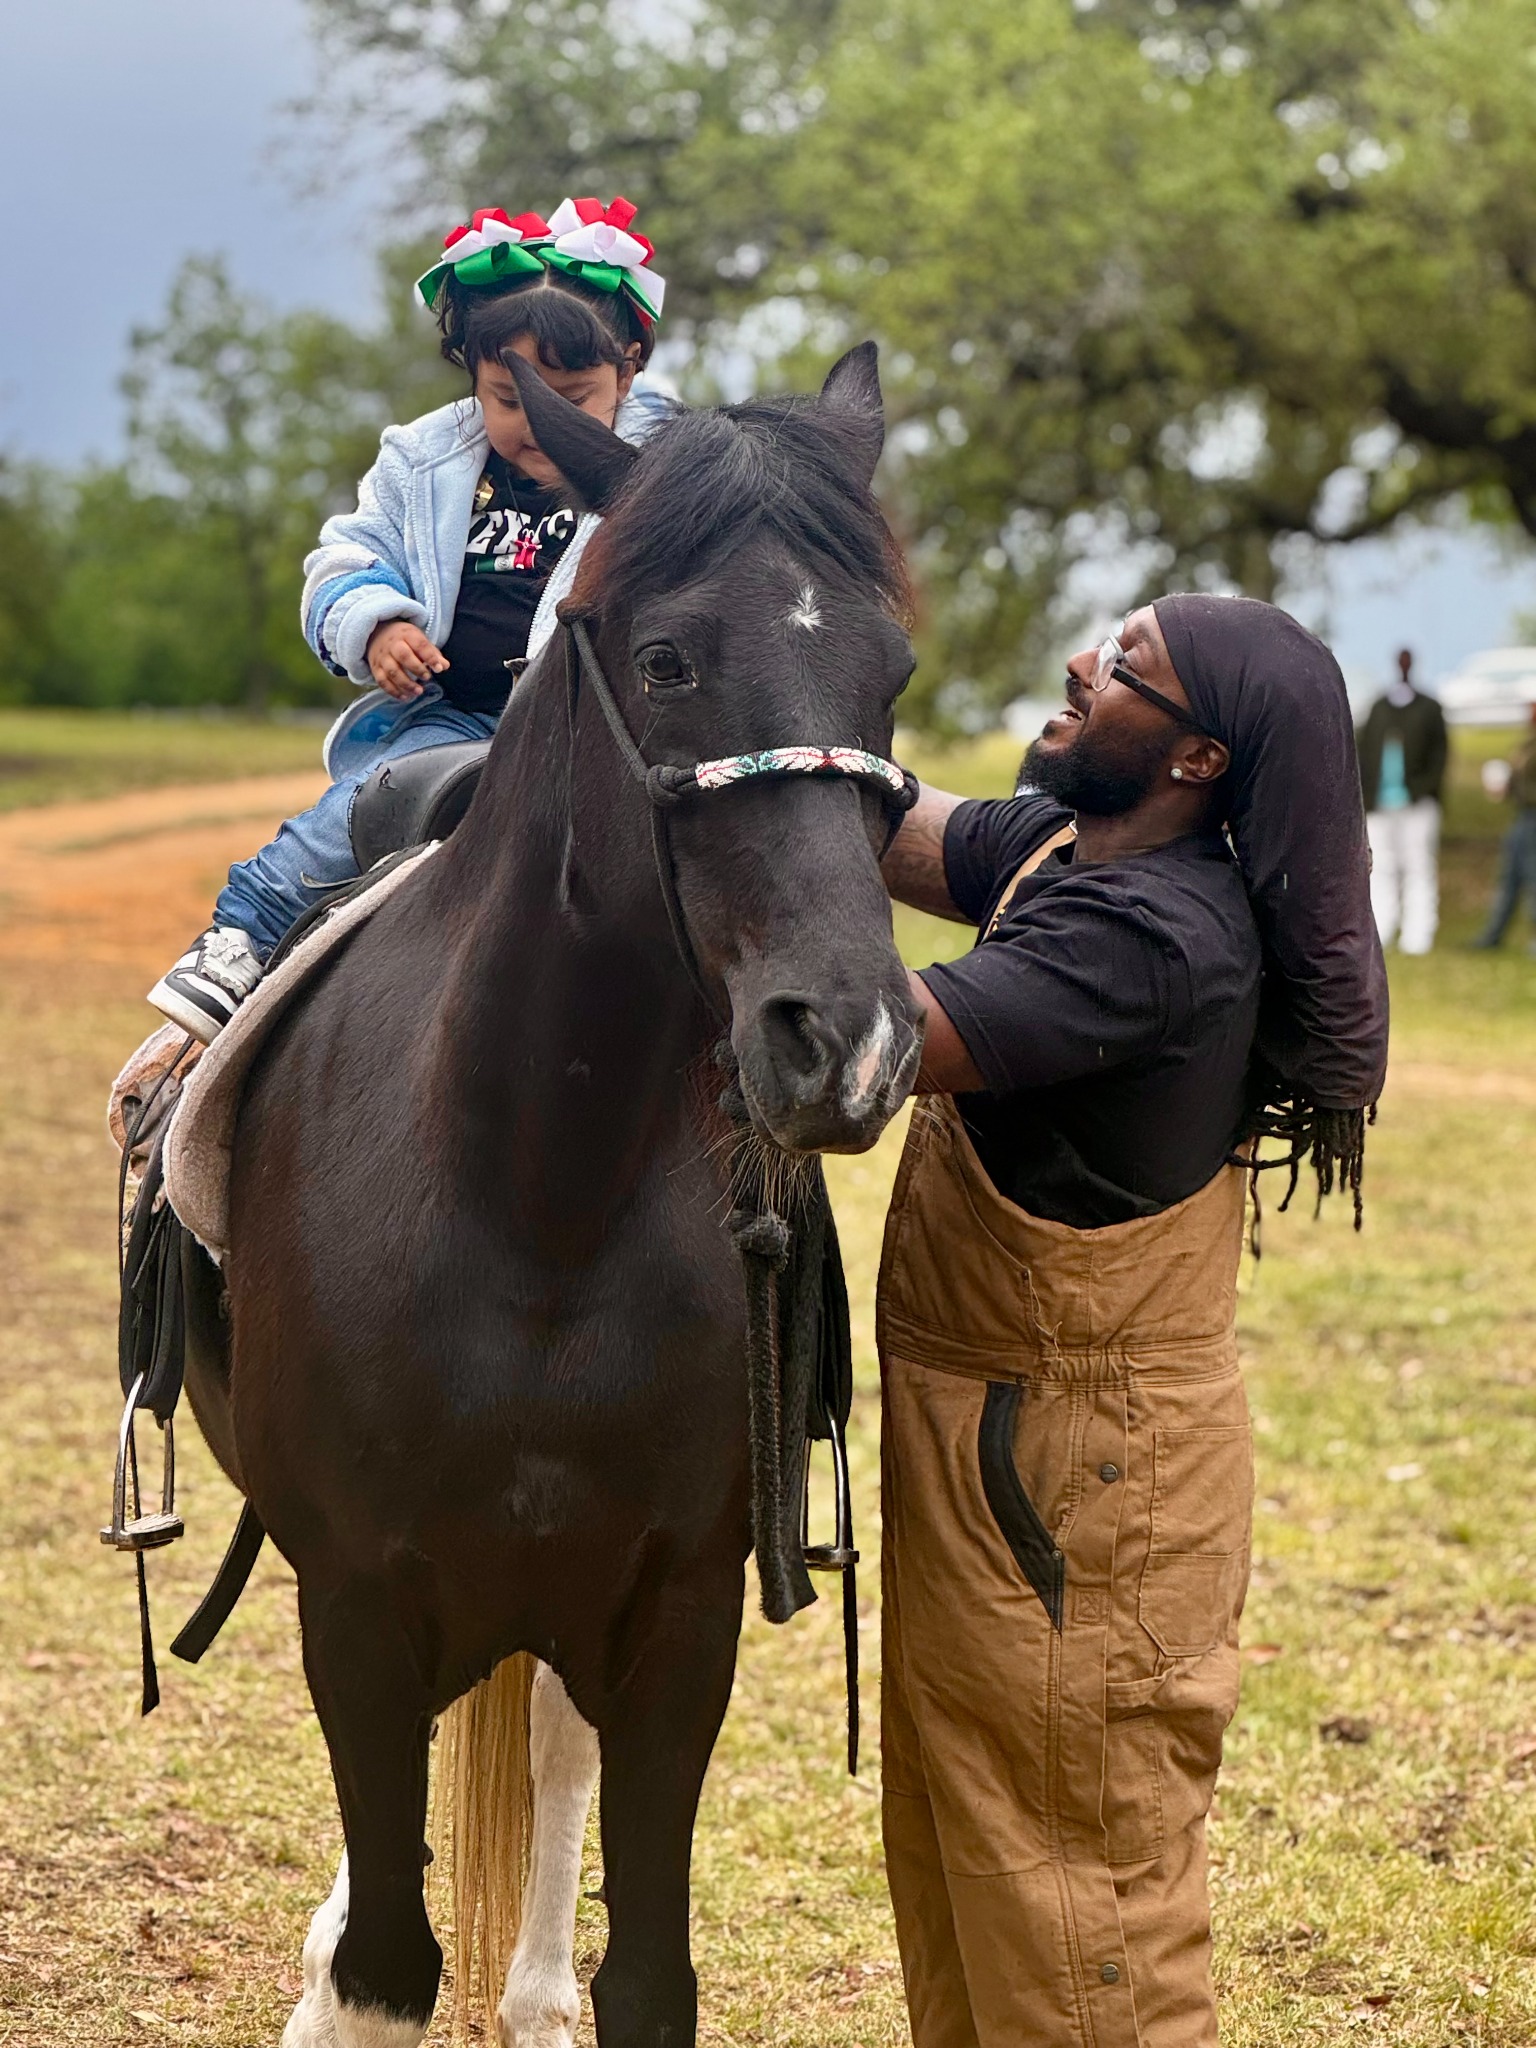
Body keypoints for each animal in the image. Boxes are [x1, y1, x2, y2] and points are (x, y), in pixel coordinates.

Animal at [179, 342, 924, 2048]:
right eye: (664, 660)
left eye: (894, 678)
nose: (847, 1041)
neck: (535, 1194)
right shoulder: (357, 1605)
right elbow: (384, 1969)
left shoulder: (679, 1608)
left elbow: (647, 1975)